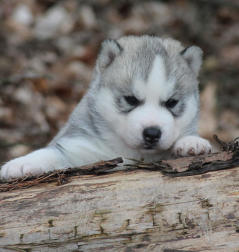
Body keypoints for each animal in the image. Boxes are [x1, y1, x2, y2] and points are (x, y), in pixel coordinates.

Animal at [1, 36, 211, 180]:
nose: (152, 133)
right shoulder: (78, 149)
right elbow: (52, 152)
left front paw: (191, 143)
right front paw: (20, 164)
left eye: (171, 103)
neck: (130, 153)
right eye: (130, 99)